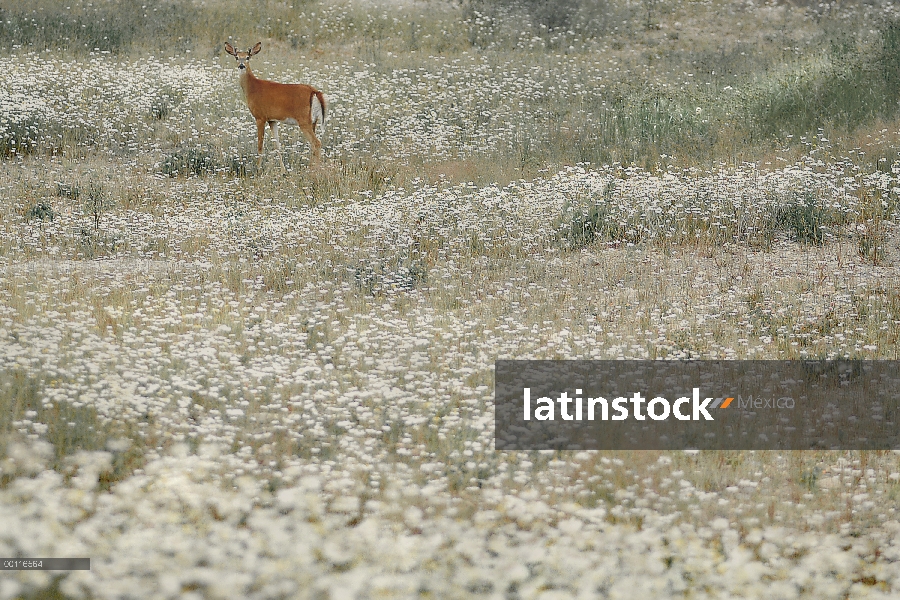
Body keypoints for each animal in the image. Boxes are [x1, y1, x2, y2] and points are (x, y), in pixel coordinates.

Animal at [223, 42, 326, 170]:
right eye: (237, 57)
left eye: (247, 57)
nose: (241, 66)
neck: (252, 88)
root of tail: (315, 92)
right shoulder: (272, 120)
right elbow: (277, 145)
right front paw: (283, 171)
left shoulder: (260, 117)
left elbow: (260, 145)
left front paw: (258, 169)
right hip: (313, 121)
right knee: (313, 144)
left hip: (304, 121)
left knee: (316, 143)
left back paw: (315, 170)